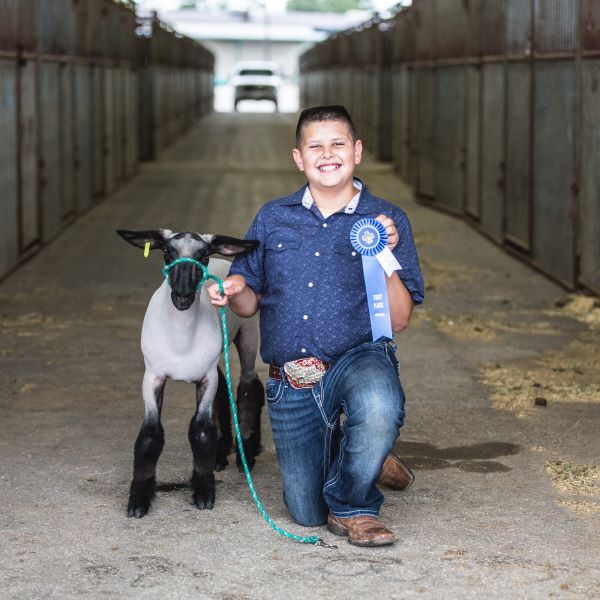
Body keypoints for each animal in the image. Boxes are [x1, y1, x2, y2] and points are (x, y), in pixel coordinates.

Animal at [117, 227, 264, 516]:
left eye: (203, 255)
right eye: (166, 251)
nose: (182, 296)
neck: (180, 341)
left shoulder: (206, 378)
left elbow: (202, 430)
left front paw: (204, 491)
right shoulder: (153, 376)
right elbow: (149, 434)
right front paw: (138, 499)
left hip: (248, 333)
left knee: (248, 385)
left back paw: (248, 451)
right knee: (225, 392)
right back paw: (221, 453)